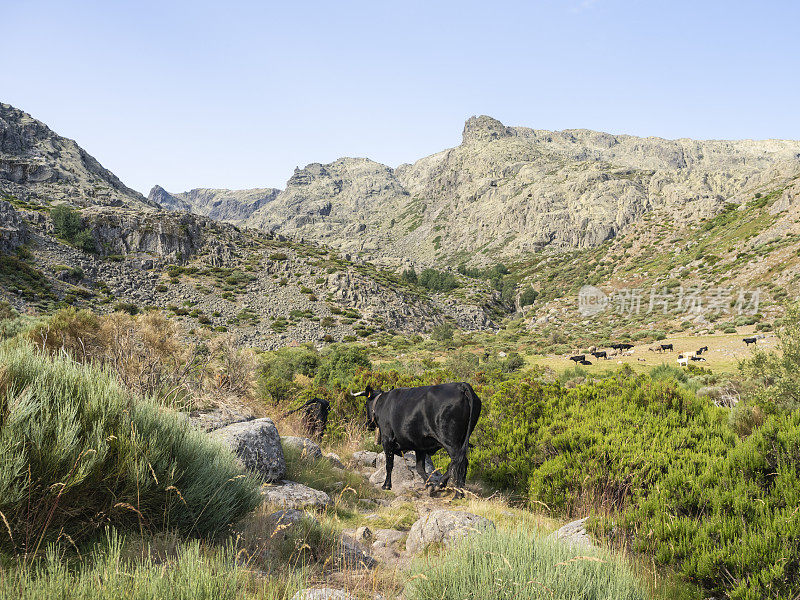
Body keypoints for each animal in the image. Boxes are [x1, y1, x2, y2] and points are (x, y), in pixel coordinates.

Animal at [354, 384, 482, 496]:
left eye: (365, 404)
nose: (367, 424)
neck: (382, 403)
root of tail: (460, 385)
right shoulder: (420, 446)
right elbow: (420, 468)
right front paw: (429, 485)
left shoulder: (387, 440)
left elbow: (389, 465)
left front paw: (386, 485)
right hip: (461, 440)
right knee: (459, 462)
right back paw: (448, 488)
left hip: (450, 442)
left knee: (459, 462)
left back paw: (456, 493)